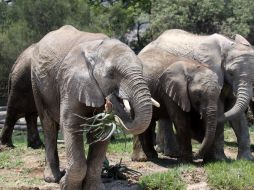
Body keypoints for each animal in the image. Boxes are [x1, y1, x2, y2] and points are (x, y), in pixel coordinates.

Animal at [29, 25, 154, 190]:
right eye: (111, 74)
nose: (112, 100)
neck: (96, 48)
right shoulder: (69, 81)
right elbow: (71, 125)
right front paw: (66, 186)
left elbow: (102, 132)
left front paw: (94, 187)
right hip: (36, 83)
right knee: (48, 126)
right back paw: (51, 178)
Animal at [141, 29, 254, 160]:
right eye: (230, 73)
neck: (230, 45)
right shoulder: (213, 72)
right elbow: (221, 107)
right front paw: (220, 159)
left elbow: (237, 115)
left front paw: (245, 159)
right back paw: (172, 153)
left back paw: (167, 152)